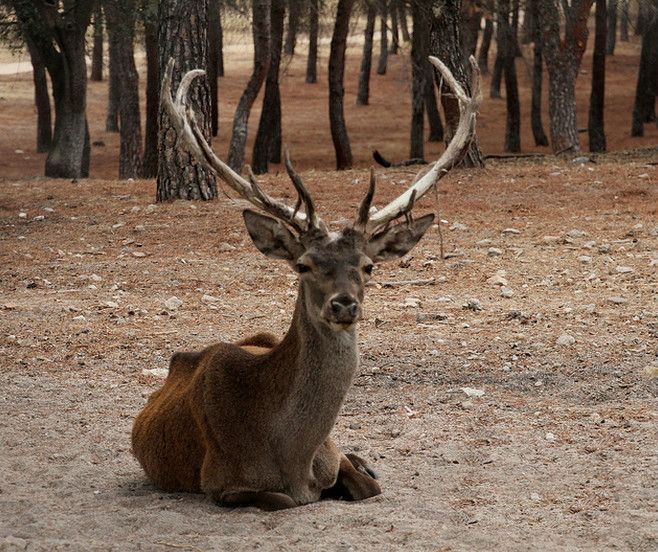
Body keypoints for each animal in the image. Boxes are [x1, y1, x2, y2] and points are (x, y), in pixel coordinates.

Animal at [131, 54, 480, 512]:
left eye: (368, 266)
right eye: (303, 265)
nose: (344, 304)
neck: (294, 460)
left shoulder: (331, 455)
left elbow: (367, 485)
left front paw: (364, 471)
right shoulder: (219, 482)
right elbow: (279, 499)